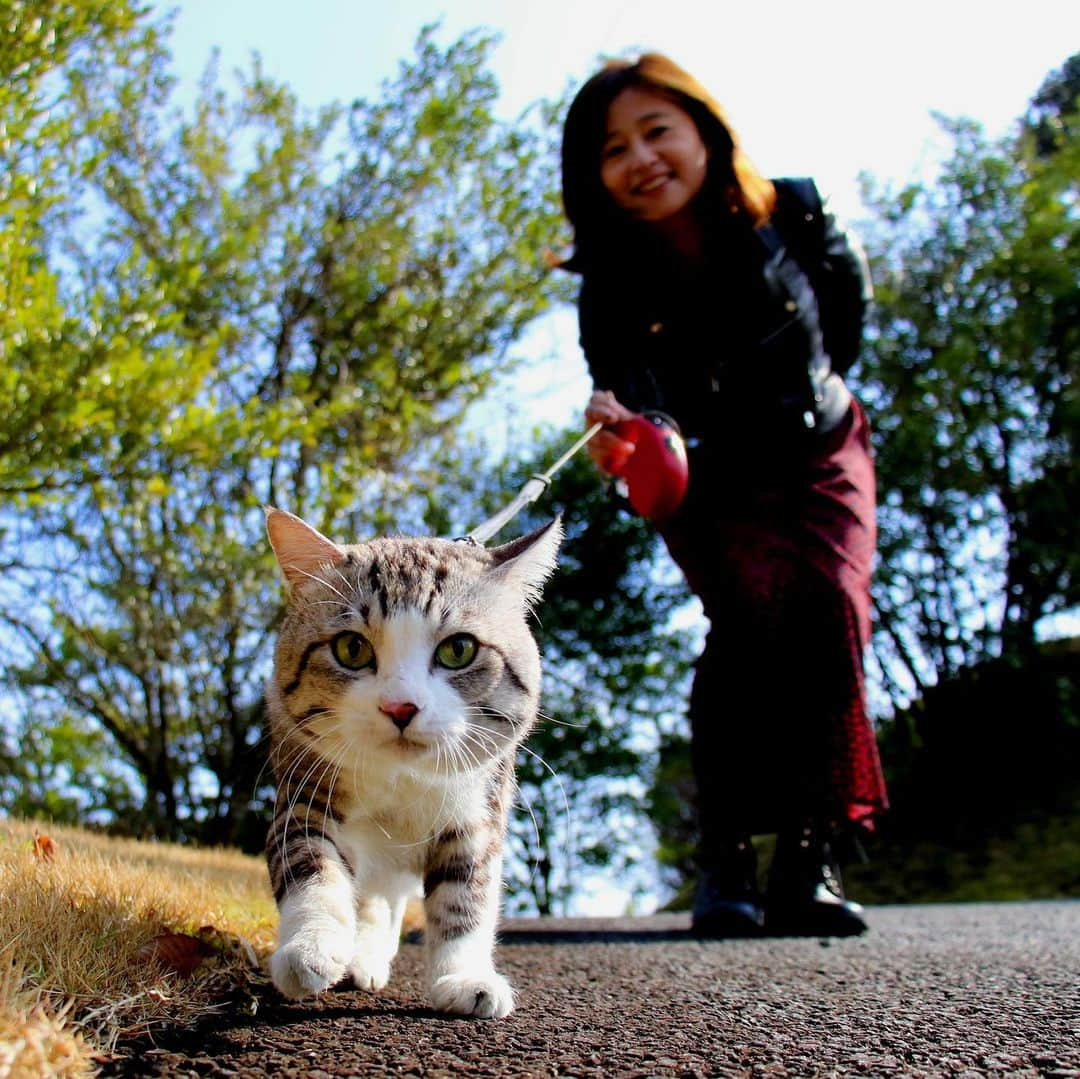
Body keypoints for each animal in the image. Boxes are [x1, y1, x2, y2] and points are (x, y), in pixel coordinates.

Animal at [264, 507, 561, 1019]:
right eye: (352, 648)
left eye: (459, 649)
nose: (400, 707)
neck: (402, 780)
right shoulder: (304, 789)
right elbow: (312, 867)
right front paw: (311, 948)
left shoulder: (479, 809)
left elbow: (466, 896)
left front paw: (464, 978)